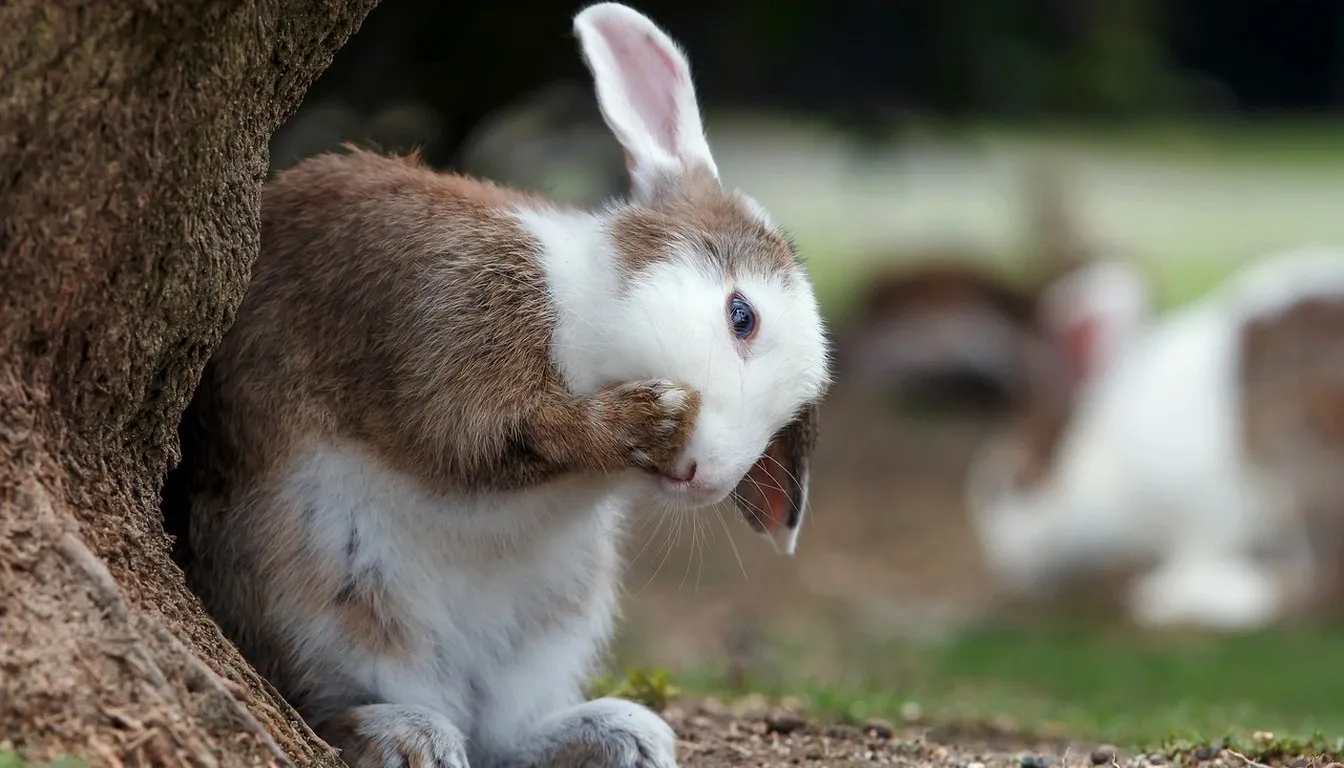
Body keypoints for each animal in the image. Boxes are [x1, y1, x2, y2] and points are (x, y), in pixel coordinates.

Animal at [163, 4, 832, 768]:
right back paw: (407, 737)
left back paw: (624, 734)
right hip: (332, 596)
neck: (582, 304)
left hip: (548, 629)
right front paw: (650, 416)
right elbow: (497, 436)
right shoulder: (450, 340)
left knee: (505, 735)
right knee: (335, 702)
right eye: (741, 316)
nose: (706, 477)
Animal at [963, 245, 1344, 631]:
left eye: (996, 487)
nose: (999, 562)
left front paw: (1163, 593)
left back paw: (1168, 597)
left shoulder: (1209, 516)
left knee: (1313, 587)